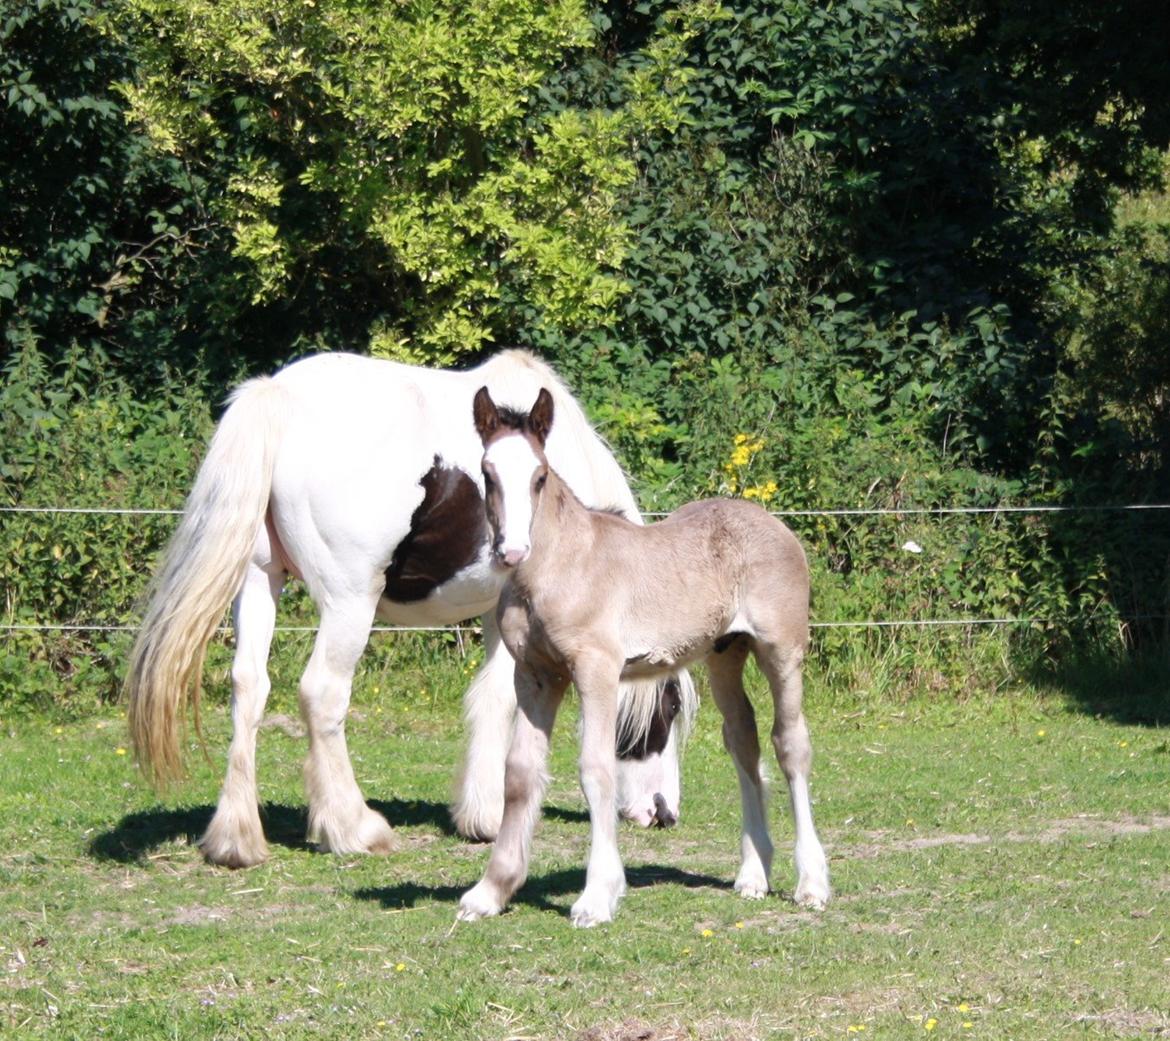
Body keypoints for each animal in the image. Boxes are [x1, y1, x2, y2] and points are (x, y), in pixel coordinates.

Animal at [125, 353, 692, 865]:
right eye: (670, 709)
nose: (664, 812)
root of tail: (278, 397)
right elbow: (498, 698)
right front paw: (487, 817)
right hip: (349, 603)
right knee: (322, 694)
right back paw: (353, 828)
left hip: (261, 580)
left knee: (249, 686)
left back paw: (237, 839)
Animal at [451, 388, 828, 926]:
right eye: (488, 473)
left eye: (539, 476)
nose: (512, 551)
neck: (560, 567)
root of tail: (774, 525)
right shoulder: (536, 674)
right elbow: (520, 773)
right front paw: (491, 890)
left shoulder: (597, 670)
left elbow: (596, 769)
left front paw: (596, 897)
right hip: (725, 654)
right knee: (744, 741)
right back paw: (753, 876)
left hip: (782, 650)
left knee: (791, 744)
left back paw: (812, 883)